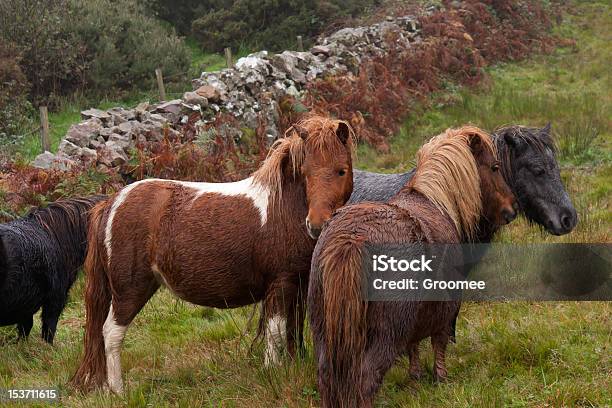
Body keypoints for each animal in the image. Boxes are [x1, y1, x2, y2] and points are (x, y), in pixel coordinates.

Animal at [71, 114, 354, 392]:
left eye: (342, 170)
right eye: (305, 172)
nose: (316, 225)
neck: (282, 207)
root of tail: (112, 203)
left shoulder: (298, 283)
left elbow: (294, 329)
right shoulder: (280, 283)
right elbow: (276, 332)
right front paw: (273, 374)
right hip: (129, 290)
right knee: (111, 333)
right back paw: (118, 390)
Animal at [308, 126, 512, 406]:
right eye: (494, 167)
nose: (510, 210)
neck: (433, 201)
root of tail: (353, 238)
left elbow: (414, 346)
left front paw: (415, 376)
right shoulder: (445, 310)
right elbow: (439, 342)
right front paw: (440, 377)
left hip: (323, 333)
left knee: (326, 377)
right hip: (384, 337)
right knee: (366, 379)